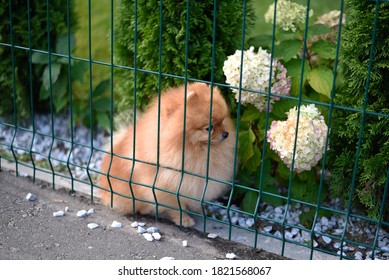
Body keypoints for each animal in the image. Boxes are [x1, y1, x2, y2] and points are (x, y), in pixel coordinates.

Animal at [98, 82, 235, 226]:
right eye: (209, 128)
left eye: (222, 121)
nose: (226, 134)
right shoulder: (165, 186)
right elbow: (175, 206)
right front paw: (184, 220)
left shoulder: (196, 184)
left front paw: (200, 210)